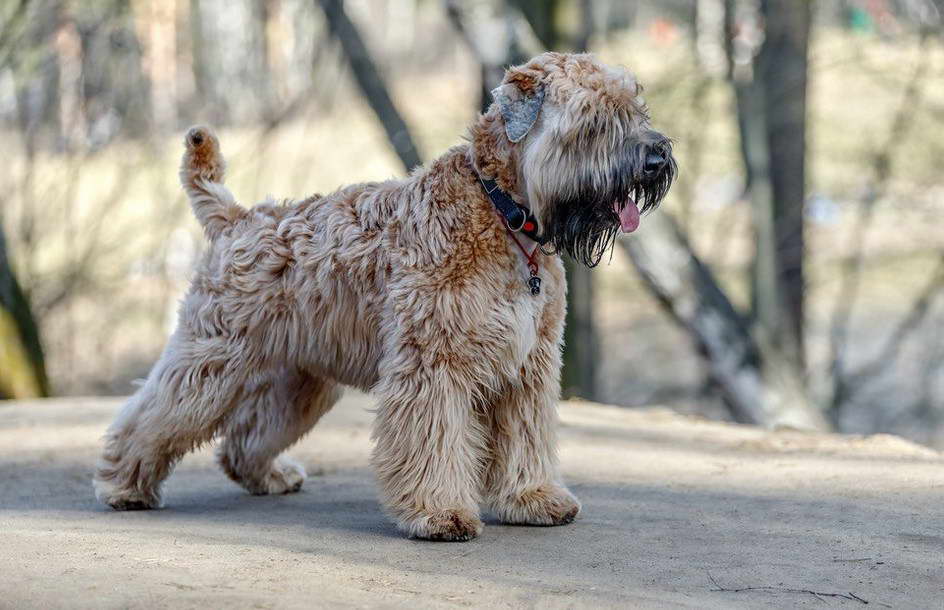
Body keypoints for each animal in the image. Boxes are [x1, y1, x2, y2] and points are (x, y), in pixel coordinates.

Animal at [94, 51, 672, 536]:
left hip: (299, 380)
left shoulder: (527, 368)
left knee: (245, 437)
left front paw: (532, 498)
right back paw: (123, 486)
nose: (658, 158)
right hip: (211, 361)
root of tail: (237, 217)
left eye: (635, 108)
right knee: (152, 416)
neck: (504, 215)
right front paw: (439, 513)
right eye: (593, 120)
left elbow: (524, 438)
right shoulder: (434, 363)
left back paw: (269, 476)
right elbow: (433, 441)